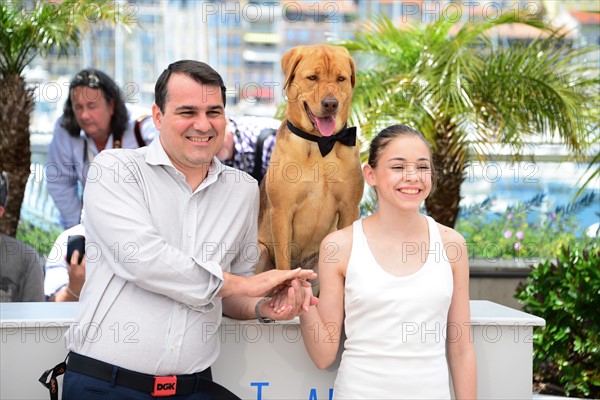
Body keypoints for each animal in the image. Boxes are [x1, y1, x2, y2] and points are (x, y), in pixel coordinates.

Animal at [256, 45, 364, 280]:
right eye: (313, 78)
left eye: (341, 78)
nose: (330, 103)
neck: (320, 144)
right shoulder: (281, 212)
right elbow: (284, 266)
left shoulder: (350, 208)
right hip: (260, 251)